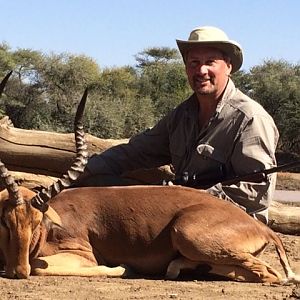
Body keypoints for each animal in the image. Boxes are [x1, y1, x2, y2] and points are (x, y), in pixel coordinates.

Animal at [0, 73, 300, 284]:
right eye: (6, 222)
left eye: (37, 222)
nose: (18, 271)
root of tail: (263, 229)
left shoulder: (80, 255)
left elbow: (42, 268)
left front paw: (123, 268)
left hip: (187, 234)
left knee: (270, 274)